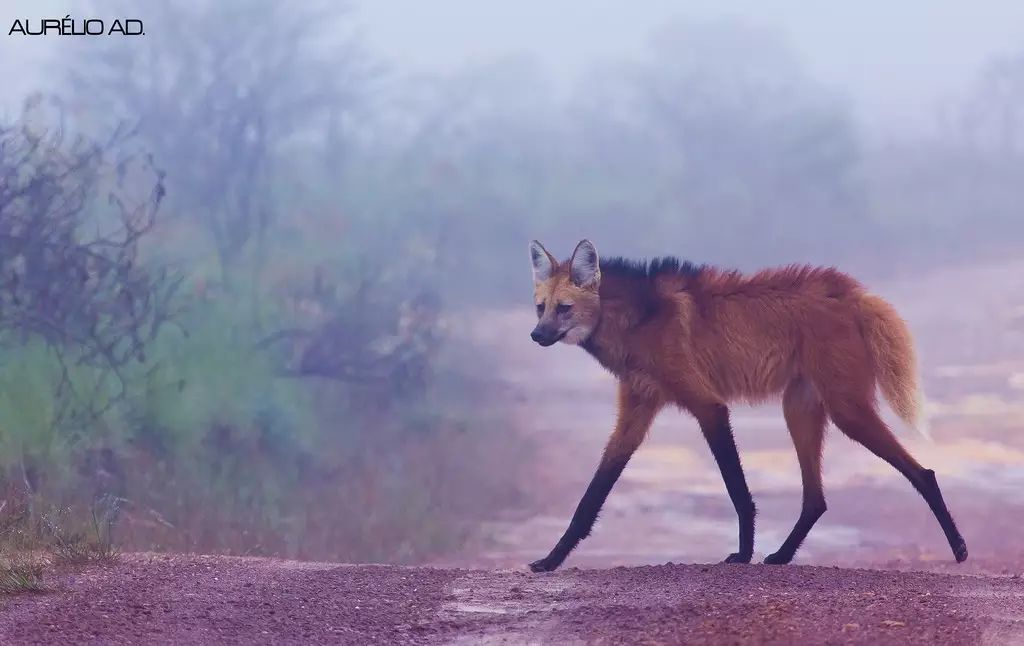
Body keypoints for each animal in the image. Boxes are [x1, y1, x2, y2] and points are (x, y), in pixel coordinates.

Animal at [528, 240, 966, 573]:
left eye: (564, 308)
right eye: (540, 307)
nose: (536, 335)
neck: (638, 321)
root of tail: (852, 293)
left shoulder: (708, 405)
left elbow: (737, 489)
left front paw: (742, 554)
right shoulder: (636, 411)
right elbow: (592, 495)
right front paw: (550, 560)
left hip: (846, 410)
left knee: (923, 473)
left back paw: (959, 548)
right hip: (800, 408)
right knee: (815, 498)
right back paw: (782, 555)